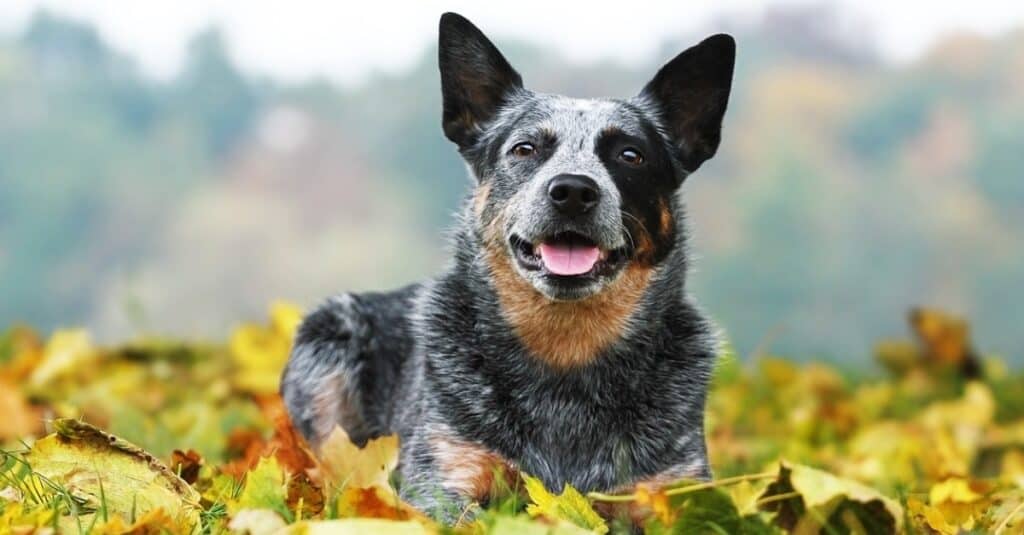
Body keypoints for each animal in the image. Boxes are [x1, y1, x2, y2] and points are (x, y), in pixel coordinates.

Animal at [280, 11, 737, 520]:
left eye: (630, 155)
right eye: (524, 148)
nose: (573, 190)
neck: (566, 357)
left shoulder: (676, 489)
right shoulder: (443, 478)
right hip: (328, 339)